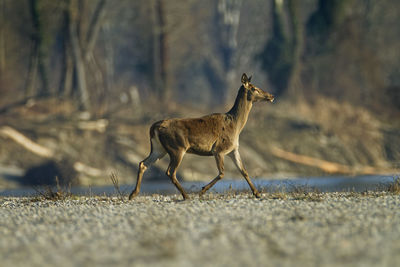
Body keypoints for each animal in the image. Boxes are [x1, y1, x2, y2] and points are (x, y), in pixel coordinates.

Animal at [130, 74, 274, 201]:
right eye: (254, 88)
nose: (271, 96)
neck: (235, 125)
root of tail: (154, 127)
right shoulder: (219, 149)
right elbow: (222, 173)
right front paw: (202, 191)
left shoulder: (233, 150)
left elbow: (244, 171)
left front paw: (257, 193)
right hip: (177, 148)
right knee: (170, 172)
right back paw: (186, 195)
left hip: (159, 149)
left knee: (143, 163)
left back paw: (133, 194)